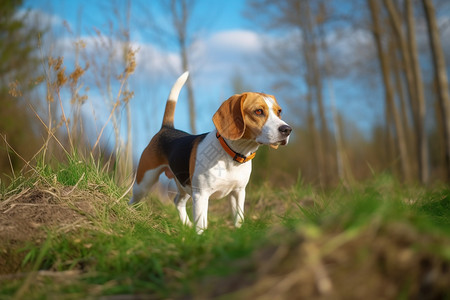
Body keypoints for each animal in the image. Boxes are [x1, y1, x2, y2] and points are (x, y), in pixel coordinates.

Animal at [130, 71, 292, 233]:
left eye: (279, 111)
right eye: (258, 111)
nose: (287, 129)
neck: (233, 155)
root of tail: (167, 128)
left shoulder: (238, 192)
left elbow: (238, 219)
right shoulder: (201, 195)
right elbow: (202, 224)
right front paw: (200, 237)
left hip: (185, 184)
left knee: (178, 202)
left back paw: (187, 225)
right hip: (144, 182)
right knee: (133, 201)